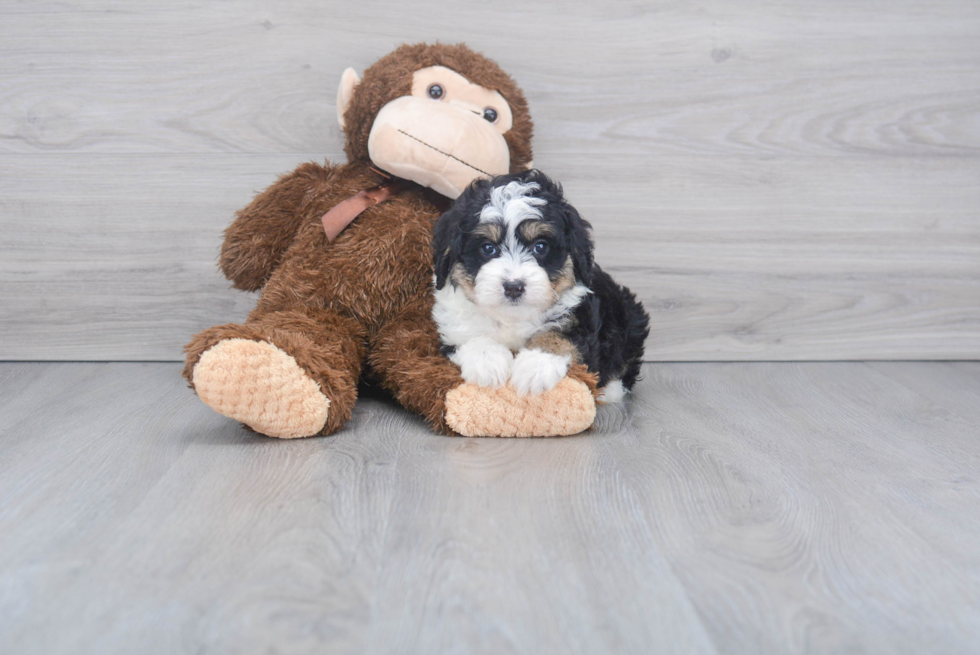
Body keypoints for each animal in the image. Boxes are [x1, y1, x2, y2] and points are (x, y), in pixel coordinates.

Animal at [430, 169, 652, 400]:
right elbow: (468, 335)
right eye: (488, 248)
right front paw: (488, 362)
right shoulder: (451, 324)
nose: (514, 287)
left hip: (629, 315)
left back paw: (610, 391)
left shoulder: (581, 315)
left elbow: (559, 336)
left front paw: (535, 365)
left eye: (540, 247)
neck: (513, 318)